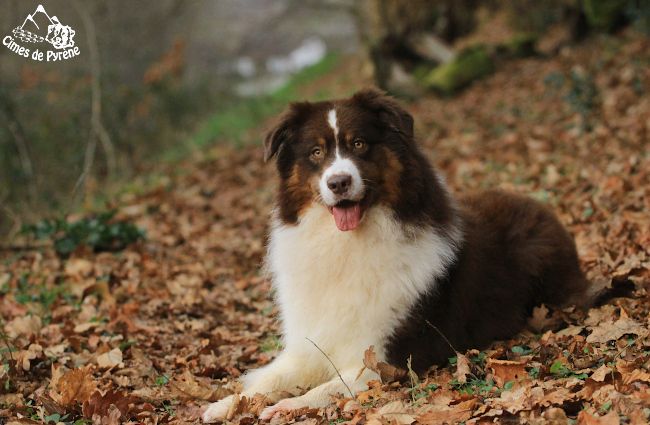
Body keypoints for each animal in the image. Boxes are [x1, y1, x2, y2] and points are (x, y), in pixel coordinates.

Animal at [202, 89, 588, 422]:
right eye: (316, 152)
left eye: (359, 144)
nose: (338, 183)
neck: (347, 243)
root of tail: (540, 207)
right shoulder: (309, 345)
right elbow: (269, 379)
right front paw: (226, 404)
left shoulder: (387, 356)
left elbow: (328, 387)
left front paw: (287, 407)